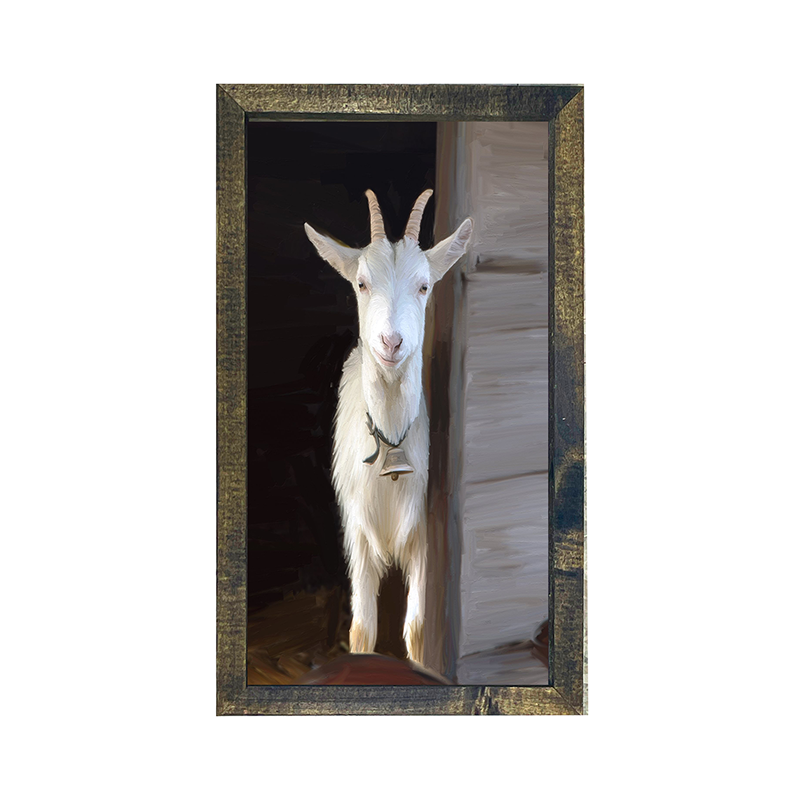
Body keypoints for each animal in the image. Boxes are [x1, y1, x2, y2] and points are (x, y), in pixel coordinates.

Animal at [305, 189, 472, 664]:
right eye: (361, 283)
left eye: (424, 285)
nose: (391, 343)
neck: (389, 442)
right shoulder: (357, 532)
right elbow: (362, 629)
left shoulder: (423, 537)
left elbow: (416, 629)